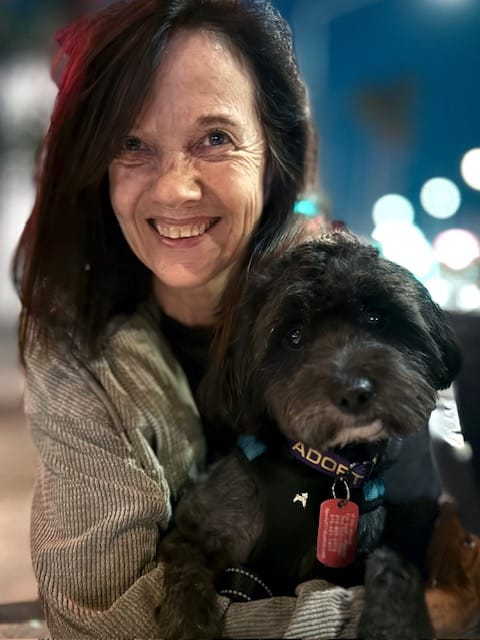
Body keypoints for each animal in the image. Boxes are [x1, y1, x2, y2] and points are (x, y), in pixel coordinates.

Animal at [158, 231, 462, 640]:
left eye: (376, 317)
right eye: (293, 336)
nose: (355, 392)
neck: (321, 467)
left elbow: (392, 566)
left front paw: (392, 619)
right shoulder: (191, 530)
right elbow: (185, 570)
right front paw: (189, 622)